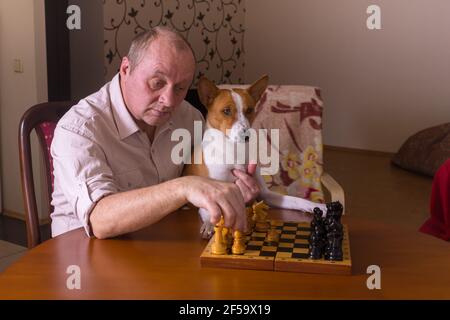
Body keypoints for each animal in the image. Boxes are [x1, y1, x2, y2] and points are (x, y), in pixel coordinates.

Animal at [183, 75, 326, 238]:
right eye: (226, 111)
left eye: (250, 110)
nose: (246, 136)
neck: (234, 151)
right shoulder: (211, 193)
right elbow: (209, 211)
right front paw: (209, 224)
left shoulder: (264, 194)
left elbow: (296, 200)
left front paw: (316, 206)